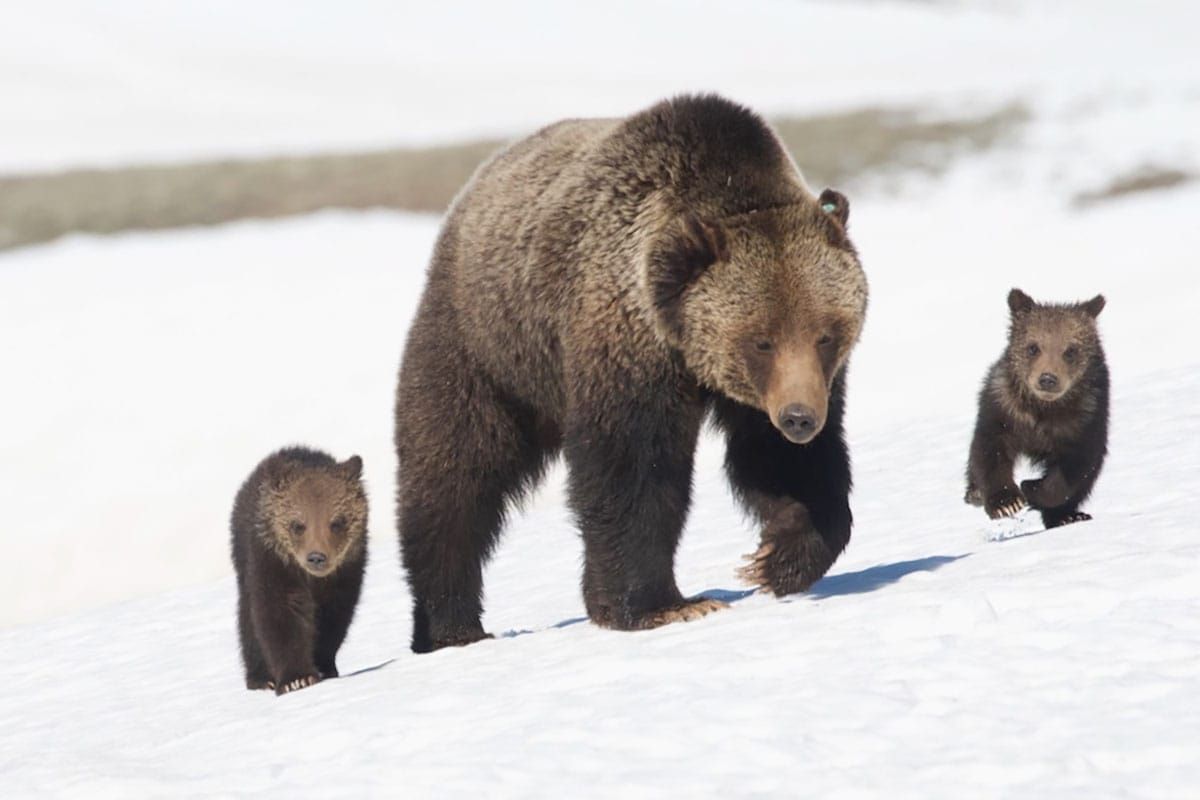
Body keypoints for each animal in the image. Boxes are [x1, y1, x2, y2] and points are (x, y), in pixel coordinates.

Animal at [230, 446, 368, 693]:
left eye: (337, 522)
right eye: (298, 525)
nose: (316, 557)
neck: (313, 579)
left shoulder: (347, 572)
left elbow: (334, 618)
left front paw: (323, 666)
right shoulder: (274, 562)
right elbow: (280, 615)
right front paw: (297, 678)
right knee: (247, 618)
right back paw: (260, 678)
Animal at [395, 94, 868, 653]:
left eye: (825, 334)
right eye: (762, 340)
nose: (799, 418)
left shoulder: (779, 390)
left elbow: (779, 462)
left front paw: (777, 559)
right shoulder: (627, 343)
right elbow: (634, 471)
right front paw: (662, 605)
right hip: (490, 346)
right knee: (456, 474)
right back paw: (453, 626)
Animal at [965, 289, 1109, 528]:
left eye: (1070, 350)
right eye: (1033, 347)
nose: (1048, 379)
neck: (1042, 410)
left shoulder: (1085, 418)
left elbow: (1075, 470)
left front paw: (1033, 488)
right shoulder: (1005, 408)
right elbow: (989, 452)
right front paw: (1006, 502)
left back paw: (1069, 516)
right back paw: (974, 493)